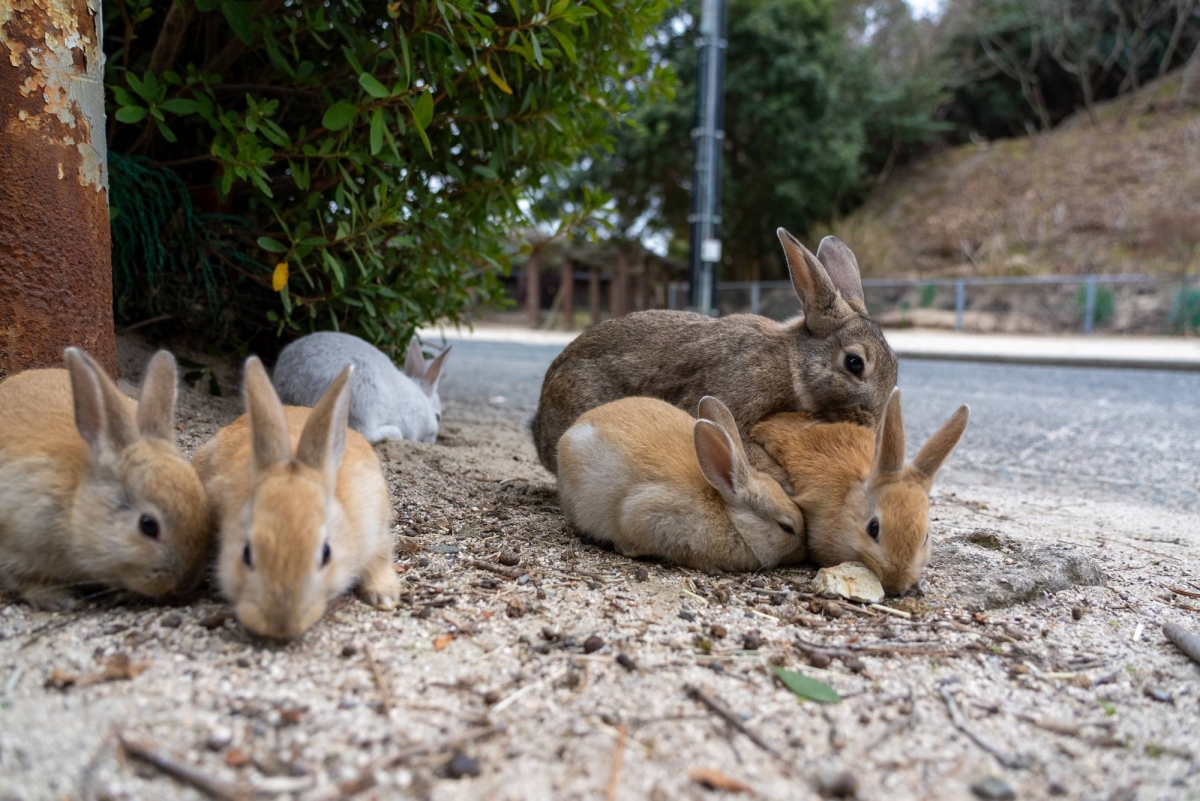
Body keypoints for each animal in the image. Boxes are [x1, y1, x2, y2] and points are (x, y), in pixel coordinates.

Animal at [193, 356, 401, 639]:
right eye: (246, 552)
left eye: (326, 553)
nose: (281, 625)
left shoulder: (375, 530)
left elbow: (380, 557)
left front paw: (385, 596)